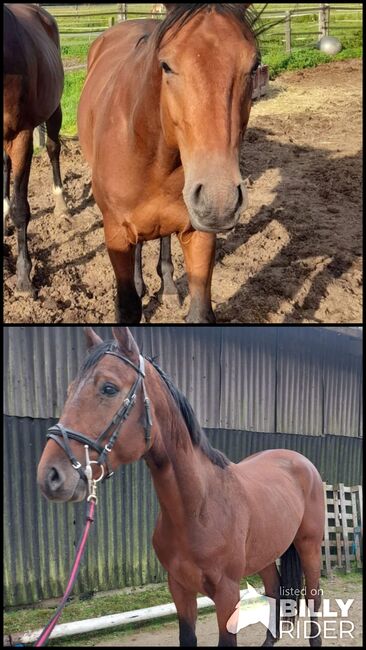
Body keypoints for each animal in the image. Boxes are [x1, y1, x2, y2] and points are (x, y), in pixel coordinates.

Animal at [36, 326, 324, 644]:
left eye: (108, 388)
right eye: (69, 390)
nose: (50, 475)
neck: (198, 508)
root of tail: (299, 460)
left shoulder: (227, 594)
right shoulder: (180, 589)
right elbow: (187, 636)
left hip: (309, 547)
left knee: (313, 599)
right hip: (265, 554)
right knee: (274, 592)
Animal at [78, 2, 260, 322]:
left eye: (254, 65)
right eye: (166, 65)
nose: (219, 201)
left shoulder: (200, 235)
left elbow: (200, 311)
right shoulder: (116, 232)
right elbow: (128, 307)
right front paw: (137, 289)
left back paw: (169, 286)